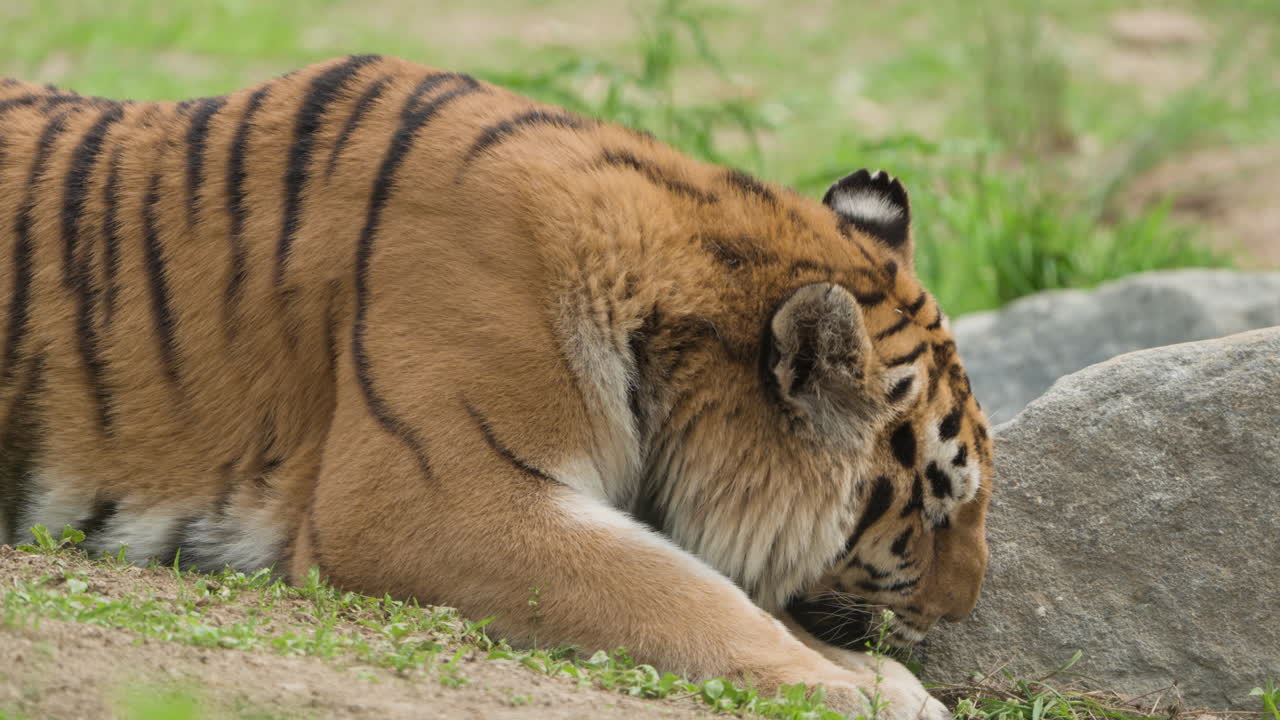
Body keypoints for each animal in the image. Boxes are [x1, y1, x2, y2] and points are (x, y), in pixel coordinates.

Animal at [0, 55, 992, 719]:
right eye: (934, 508)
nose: (960, 614)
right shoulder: (424, 499)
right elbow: (679, 591)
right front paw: (859, 692)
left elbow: (721, 587)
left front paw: (879, 678)